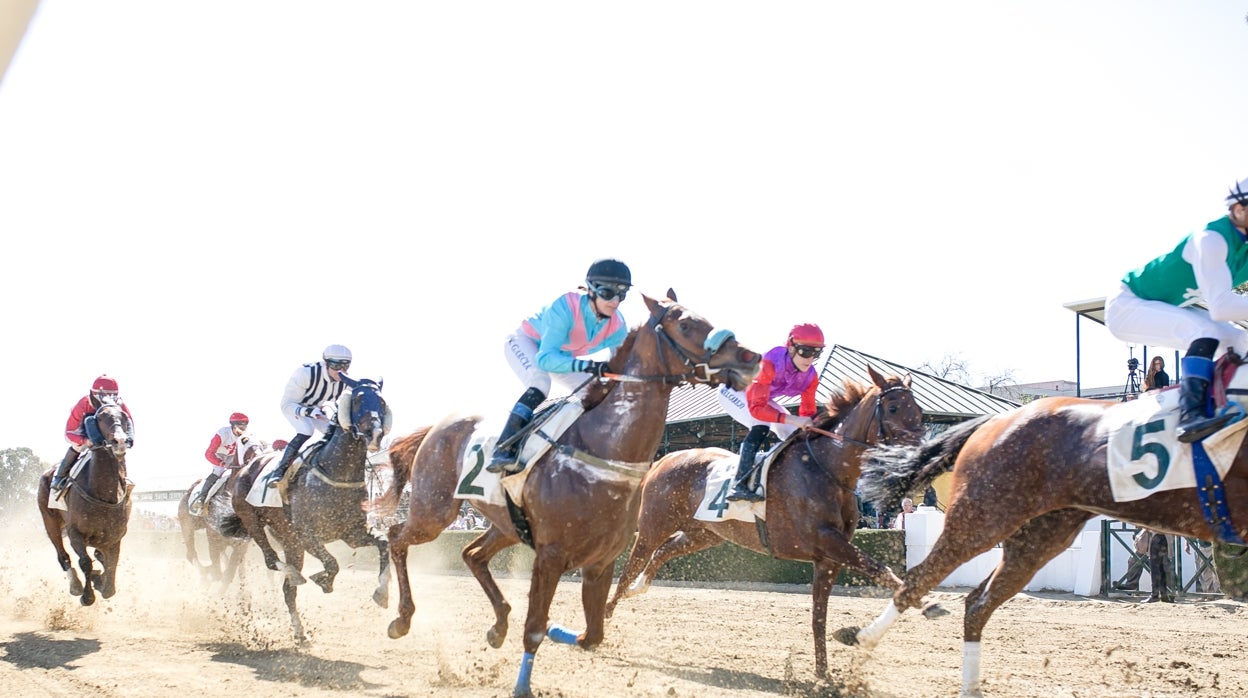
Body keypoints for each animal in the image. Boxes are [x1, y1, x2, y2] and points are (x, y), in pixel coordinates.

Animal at [37, 402, 133, 609]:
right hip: (50, 522)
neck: (103, 494)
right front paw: (87, 596)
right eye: (101, 417)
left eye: (123, 416)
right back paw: (75, 585)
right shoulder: (75, 533)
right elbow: (85, 562)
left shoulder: (114, 536)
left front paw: (103, 583)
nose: (120, 441)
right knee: (63, 556)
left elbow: (110, 565)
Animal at [222, 377, 389, 644]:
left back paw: (300, 632)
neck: (336, 472)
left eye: (382, 402)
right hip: (254, 522)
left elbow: (384, 543)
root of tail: (243, 468)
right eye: (357, 400)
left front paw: (382, 594)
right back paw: (293, 575)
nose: (374, 433)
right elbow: (332, 563)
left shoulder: (352, 533)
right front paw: (324, 581)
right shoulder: (308, 534)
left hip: (292, 544)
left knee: (288, 591)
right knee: (271, 560)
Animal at [369, 290, 758, 698]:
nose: (750, 358)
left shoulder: (600, 562)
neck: (603, 452)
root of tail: (438, 426)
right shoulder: (550, 557)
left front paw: (560, 631)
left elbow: (593, 635)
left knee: (471, 554)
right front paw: (522, 684)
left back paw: (497, 625)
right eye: (684, 325)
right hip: (433, 511)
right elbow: (535, 628)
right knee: (396, 536)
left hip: (506, 525)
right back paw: (395, 611)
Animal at [604, 367, 928, 679]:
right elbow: (881, 569)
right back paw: (604, 618)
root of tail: (663, 460)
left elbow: (818, 617)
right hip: (653, 526)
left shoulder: (828, 557)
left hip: (705, 533)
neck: (827, 469)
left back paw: (638, 588)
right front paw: (928, 605)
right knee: (631, 565)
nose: (922, 455)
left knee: (663, 551)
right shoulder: (828, 541)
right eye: (894, 407)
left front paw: (823, 673)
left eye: (919, 409)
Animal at [838, 357, 1248, 694]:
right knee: (920, 578)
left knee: (976, 602)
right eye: (892, 408)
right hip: (982, 517)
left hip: (1041, 534)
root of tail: (995, 420)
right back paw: (861, 638)